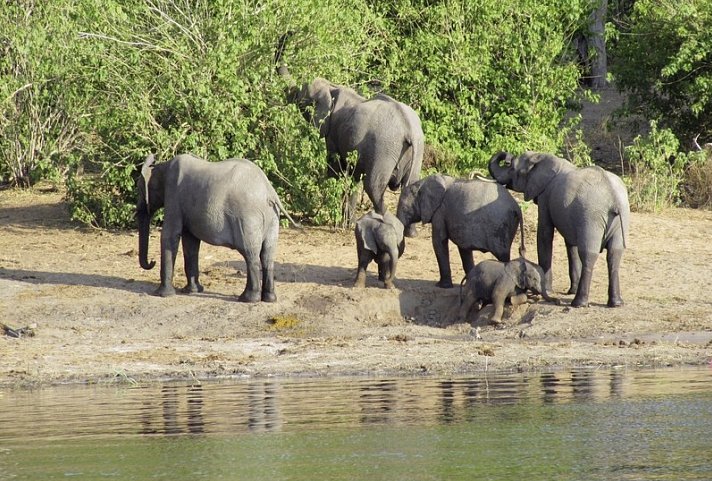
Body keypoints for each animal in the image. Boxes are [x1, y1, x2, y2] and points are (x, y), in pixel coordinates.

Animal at [136, 152, 298, 302]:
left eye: (140, 190)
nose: (152, 262)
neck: (161, 166)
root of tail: (270, 192)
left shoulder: (173, 196)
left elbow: (170, 235)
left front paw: (162, 295)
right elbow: (190, 242)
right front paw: (192, 291)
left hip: (248, 218)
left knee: (250, 254)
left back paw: (247, 299)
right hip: (272, 218)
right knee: (267, 255)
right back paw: (269, 299)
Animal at [274, 32, 422, 233]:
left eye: (303, 99)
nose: (290, 32)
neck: (332, 87)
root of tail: (409, 129)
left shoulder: (332, 134)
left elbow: (335, 170)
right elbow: (353, 175)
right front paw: (348, 223)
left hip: (384, 148)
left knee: (373, 187)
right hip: (416, 149)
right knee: (410, 187)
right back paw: (410, 233)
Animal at [490, 150, 628, 308]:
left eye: (512, 168)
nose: (507, 157)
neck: (542, 157)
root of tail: (613, 197)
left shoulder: (545, 196)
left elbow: (544, 234)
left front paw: (547, 290)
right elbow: (570, 244)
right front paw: (570, 290)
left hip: (592, 217)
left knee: (589, 254)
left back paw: (578, 303)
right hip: (619, 217)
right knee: (614, 254)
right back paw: (616, 303)